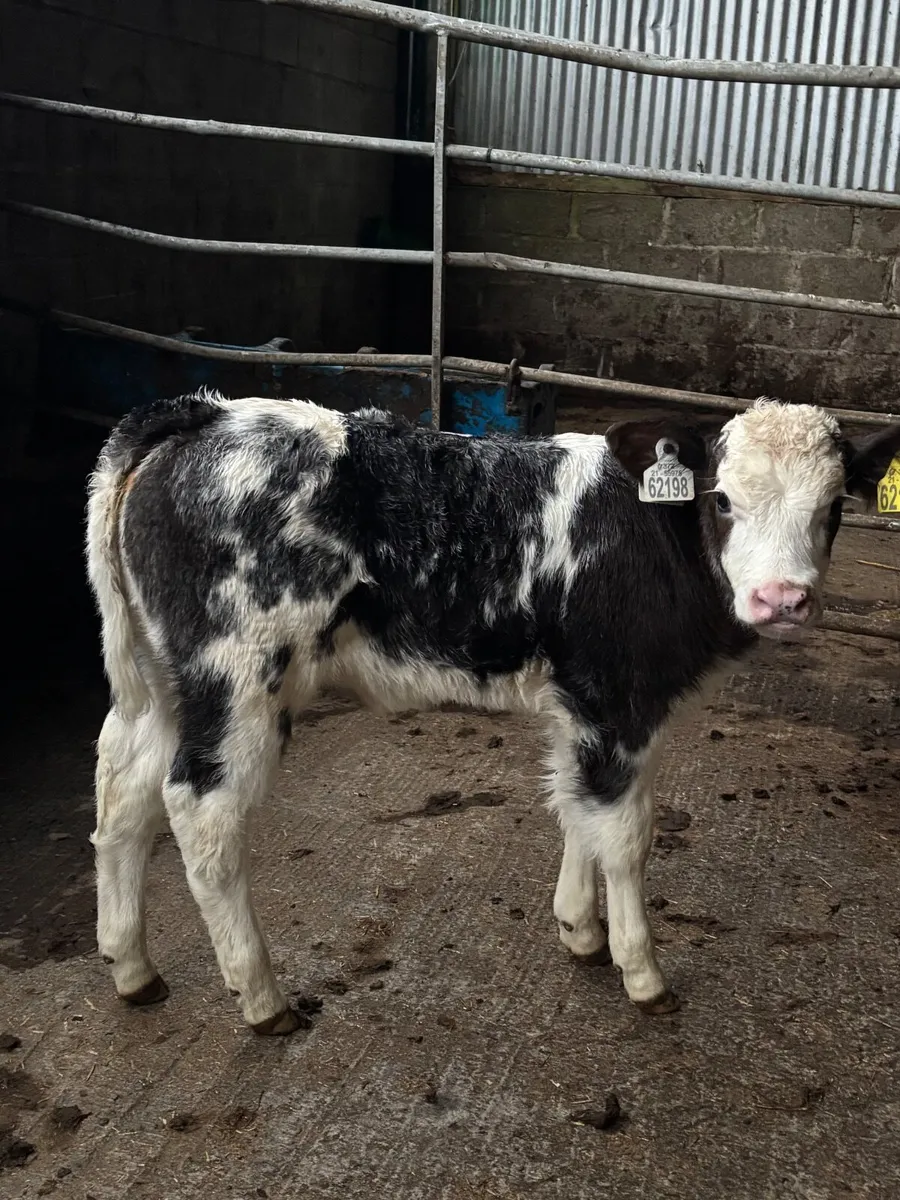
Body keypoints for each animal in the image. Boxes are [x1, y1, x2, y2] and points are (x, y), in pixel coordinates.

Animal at [86, 391, 900, 1034]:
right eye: (723, 498)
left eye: (834, 508)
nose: (782, 599)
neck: (649, 532)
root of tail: (204, 415)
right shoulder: (614, 699)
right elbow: (625, 836)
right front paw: (642, 973)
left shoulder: (581, 706)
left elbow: (575, 807)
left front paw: (580, 929)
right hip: (238, 677)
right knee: (201, 811)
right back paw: (261, 998)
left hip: (162, 685)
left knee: (123, 795)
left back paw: (132, 968)